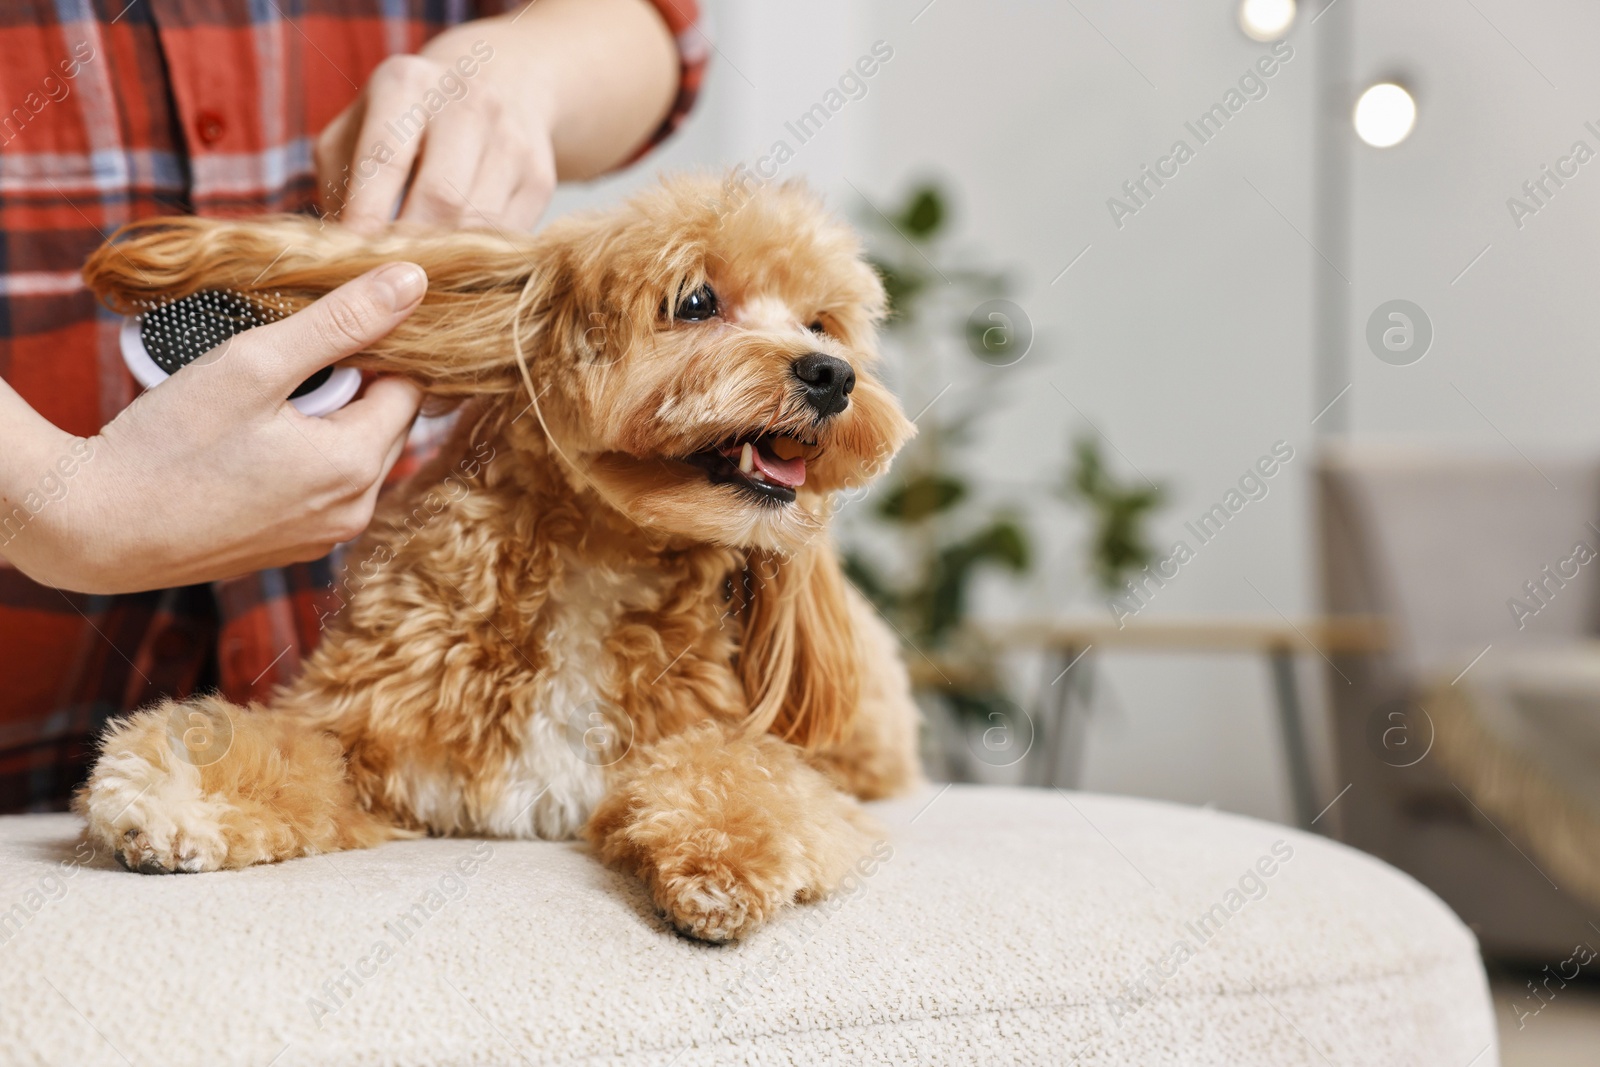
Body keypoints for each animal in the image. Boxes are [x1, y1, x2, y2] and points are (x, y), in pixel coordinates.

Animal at [75, 173, 928, 940]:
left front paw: (722, 865)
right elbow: (284, 751)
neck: (599, 566)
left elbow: (745, 776)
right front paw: (176, 796)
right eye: (694, 301)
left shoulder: (735, 746)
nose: (832, 375)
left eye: (822, 324)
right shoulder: (365, 738)